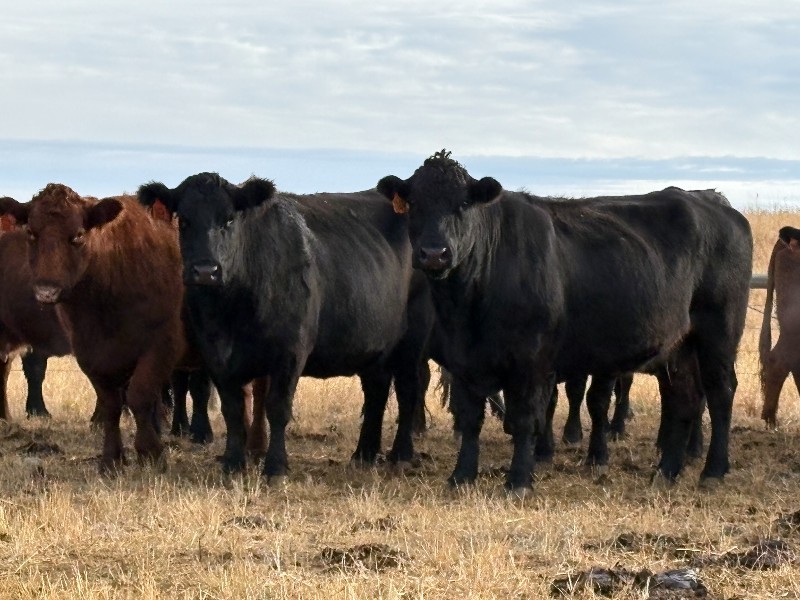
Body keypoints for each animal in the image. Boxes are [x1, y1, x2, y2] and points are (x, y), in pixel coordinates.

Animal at [0, 185, 186, 474]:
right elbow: (110, 403)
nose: (46, 291)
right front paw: (111, 459)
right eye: (31, 232)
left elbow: (140, 394)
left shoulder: (162, 344)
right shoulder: (89, 351)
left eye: (78, 235)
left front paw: (150, 453)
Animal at [138, 173, 433, 482]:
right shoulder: (216, 357)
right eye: (184, 220)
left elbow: (277, 408)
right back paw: (363, 454)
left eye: (229, 219)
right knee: (376, 391)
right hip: (374, 346)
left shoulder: (290, 353)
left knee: (408, 389)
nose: (206, 270)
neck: (230, 311)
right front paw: (232, 463)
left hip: (412, 340)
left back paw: (401, 454)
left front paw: (276, 467)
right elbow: (232, 410)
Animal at [377, 151, 752, 495]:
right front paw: (461, 476)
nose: (434, 253)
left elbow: (526, 418)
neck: (468, 305)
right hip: (679, 345)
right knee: (684, 397)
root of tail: (720, 208)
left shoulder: (532, 361)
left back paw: (713, 470)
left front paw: (519, 481)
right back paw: (666, 471)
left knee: (720, 392)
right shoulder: (464, 361)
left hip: (719, 331)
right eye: (414, 203)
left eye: (464, 203)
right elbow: (470, 418)